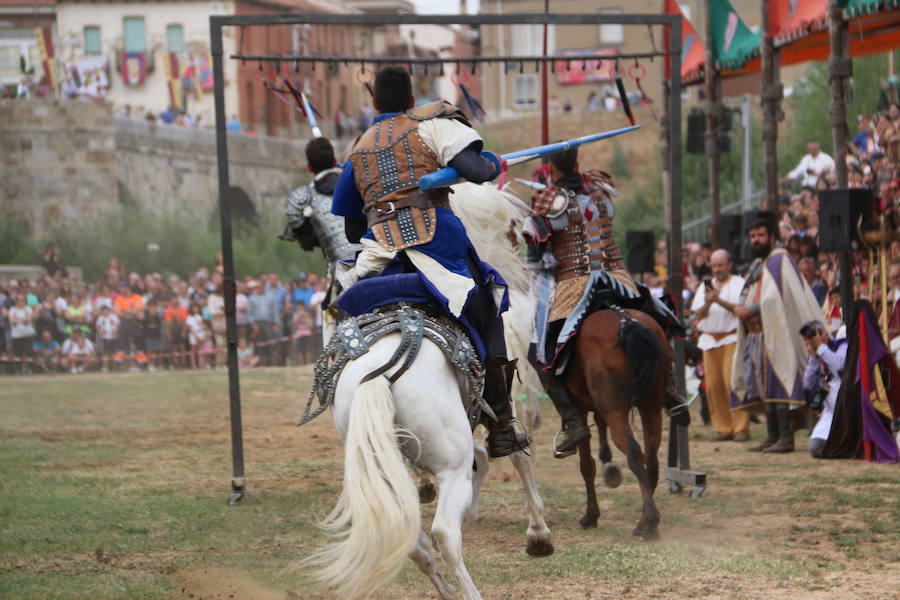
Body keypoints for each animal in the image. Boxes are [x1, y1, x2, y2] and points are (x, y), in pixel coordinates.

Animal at [306, 184, 552, 600]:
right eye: (514, 230)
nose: (525, 267)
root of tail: (379, 375)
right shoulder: (496, 409)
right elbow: (517, 453)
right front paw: (538, 533)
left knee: (415, 540)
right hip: (450, 462)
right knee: (443, 533)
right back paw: (467, 589)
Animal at [564, 310, 668, 540]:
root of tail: (626, 322)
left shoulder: (580, 409)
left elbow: (587, 466)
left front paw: (591, 516)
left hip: (615, 411)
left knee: (634, 454)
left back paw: (650, 522)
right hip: (652, 410)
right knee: (651, 461)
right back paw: (644, 523)